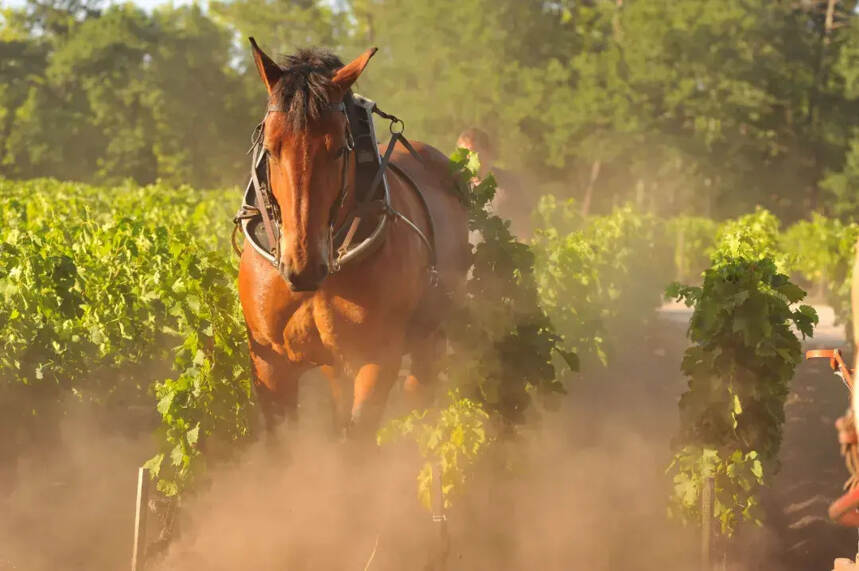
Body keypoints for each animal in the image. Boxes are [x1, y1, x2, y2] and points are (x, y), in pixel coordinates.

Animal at [237, 42, 470, 436]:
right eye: (270, 147)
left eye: (338, 149)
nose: (303, 267)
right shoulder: (268, 364)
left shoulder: (376, 357)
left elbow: (358, 437)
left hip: (428, 340)